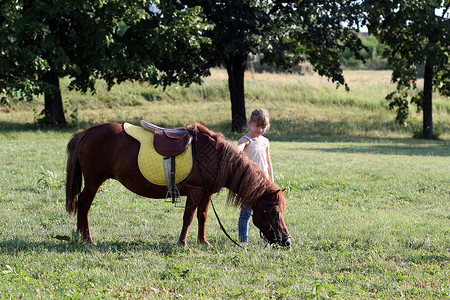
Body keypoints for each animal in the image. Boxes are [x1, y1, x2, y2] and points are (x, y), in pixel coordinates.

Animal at [66, 122, 292, 248]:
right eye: (274, 212)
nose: (287, 241)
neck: (217, 157)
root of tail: (86, 132)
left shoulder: (206, 194)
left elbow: (202, 216)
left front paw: (203, 242)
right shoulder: (195, 191)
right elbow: (188, 217)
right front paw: (182, 243)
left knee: (80, 204)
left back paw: (79, 235)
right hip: (94, 181)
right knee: (84, 204)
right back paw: (87, 239)